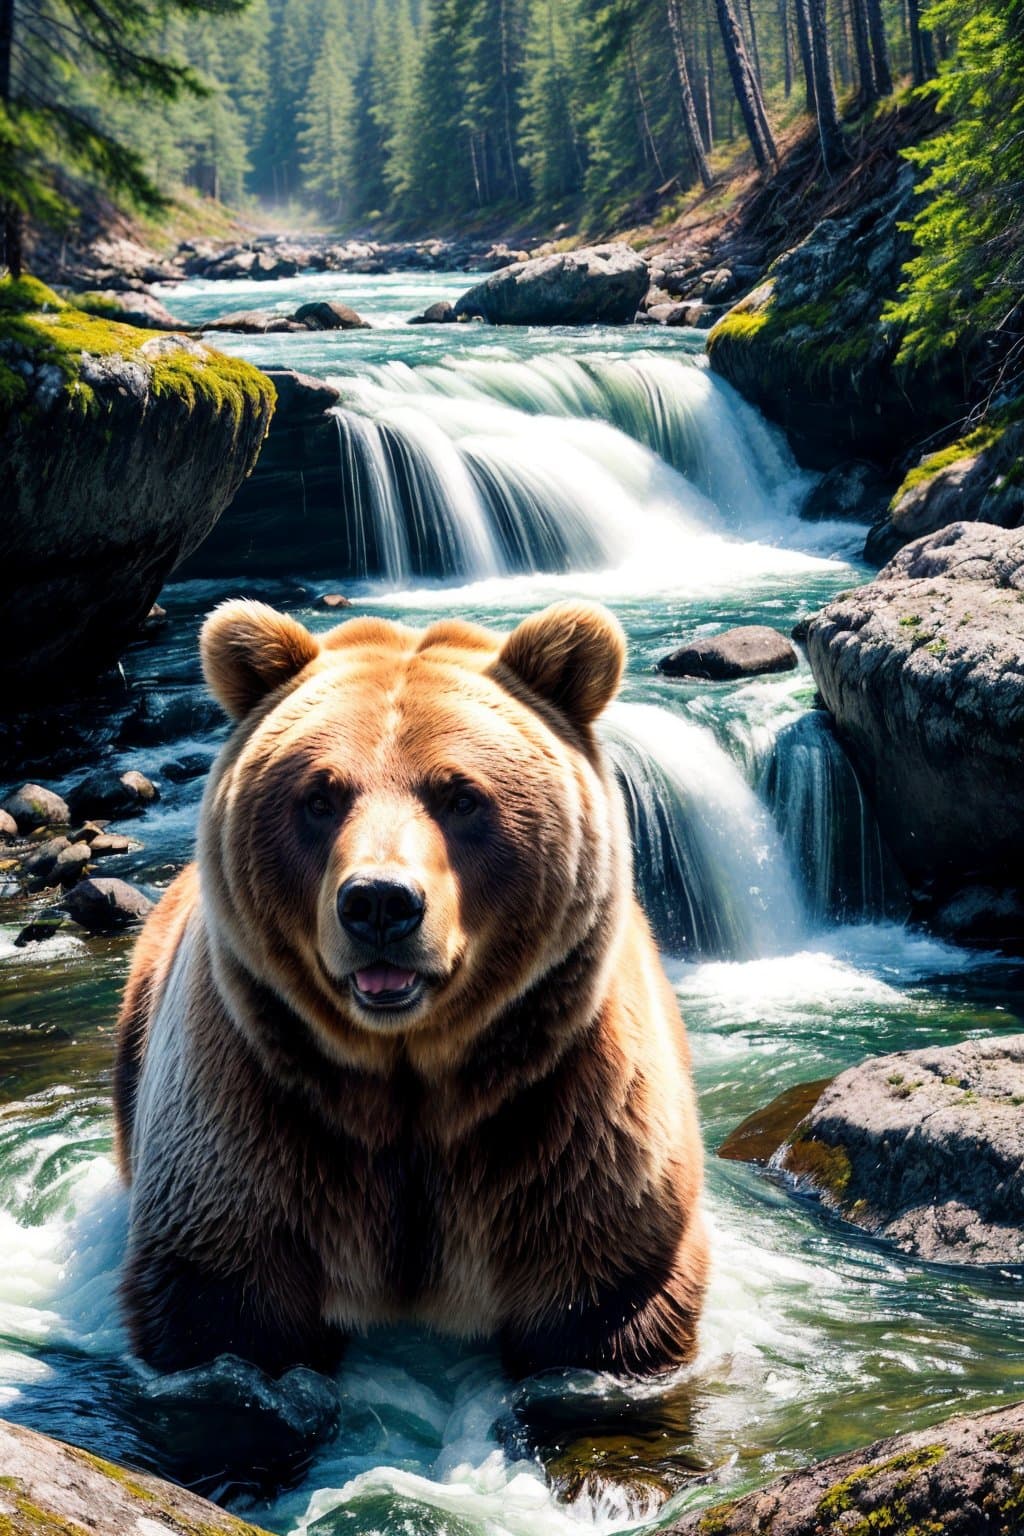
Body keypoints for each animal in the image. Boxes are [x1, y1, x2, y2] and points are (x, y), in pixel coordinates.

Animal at [114, 598, 707, 1379]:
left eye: (460, 795)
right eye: (320, 795)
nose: (379, 903)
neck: (408, 1074)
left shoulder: (572, 1124)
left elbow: (604, 1307)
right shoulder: (251, 1118)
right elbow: (223, 1310)